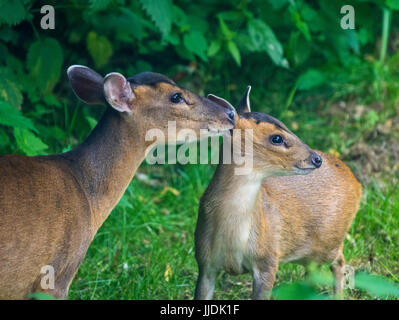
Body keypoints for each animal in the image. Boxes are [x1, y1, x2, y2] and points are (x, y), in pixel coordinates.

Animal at [195, 87, 364, 300]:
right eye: (276, 138)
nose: (316, 159)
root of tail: (356, 182)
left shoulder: (268, 259)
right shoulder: (204, 261)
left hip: (329, 241)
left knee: (340, 263)